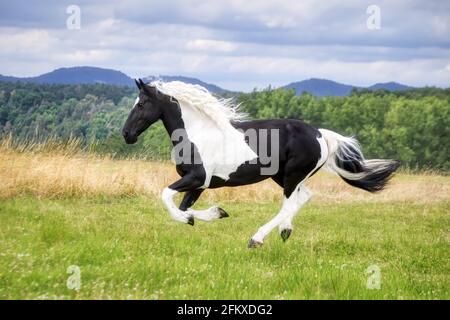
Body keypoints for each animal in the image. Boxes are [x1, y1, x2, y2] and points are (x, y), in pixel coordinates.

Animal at [121, 79, 400, 248]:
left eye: (142, 104)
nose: (126, 134)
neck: (198, 133)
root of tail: (321, 134)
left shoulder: (197, 178)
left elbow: (166, 195)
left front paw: (194, 218)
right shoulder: (200, 184)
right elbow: (184, 206)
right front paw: (213, 213)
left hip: (291, 176)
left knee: (289, 204)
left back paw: (257, 239)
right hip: (285, 176)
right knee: (303, 198)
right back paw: (285, 231)